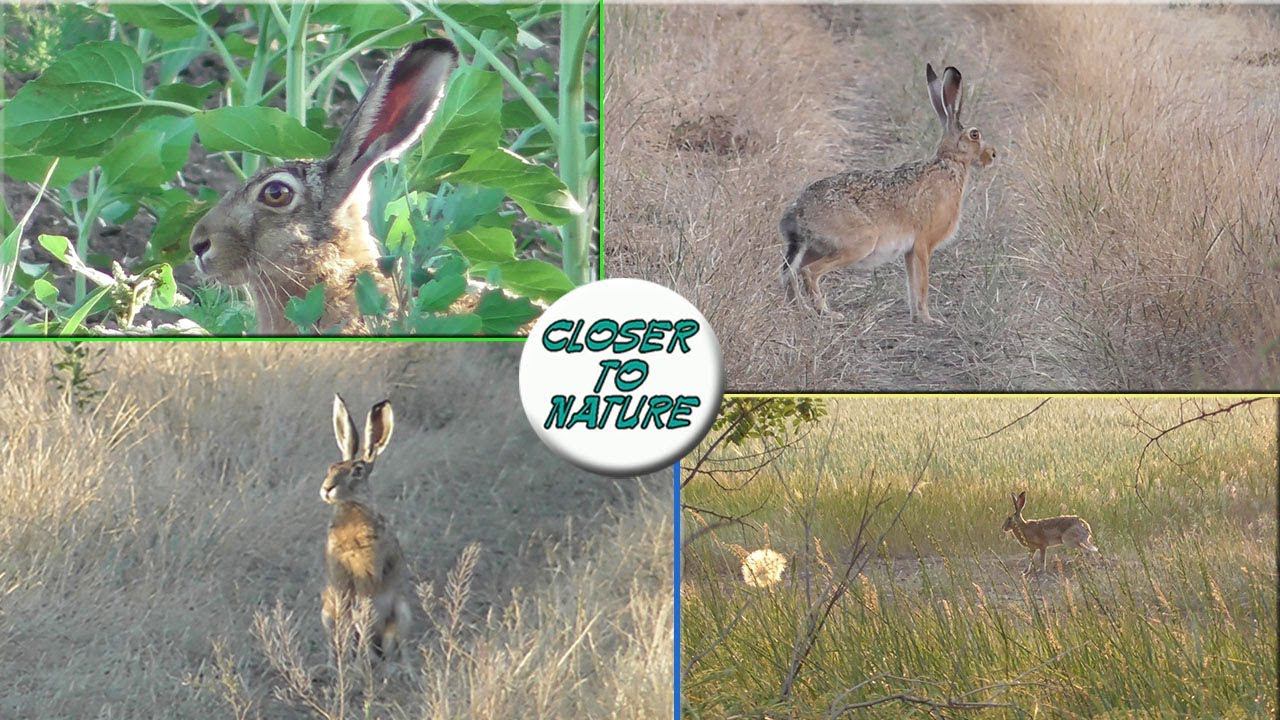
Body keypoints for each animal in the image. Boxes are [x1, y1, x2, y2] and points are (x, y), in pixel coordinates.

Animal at [321, 394, 410, 659]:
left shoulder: (369, 576)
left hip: (401, 612)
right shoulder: (339, 579)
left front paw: (359, 658)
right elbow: (346, 620)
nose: (327, 489)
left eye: (357, 471)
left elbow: (363, 616)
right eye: (331, 468)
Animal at [779, 63, 996, 323]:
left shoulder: (910, 251)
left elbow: (912, 283)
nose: (993, 155)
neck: (950, 163)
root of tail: (799, 214)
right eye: (975, 135)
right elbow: (923, 283)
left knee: (791, 273)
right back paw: (827, 312)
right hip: (859, 242)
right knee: (809, 272)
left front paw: (916, 316)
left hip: (816, 247)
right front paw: (928, 319)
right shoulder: (923, 243)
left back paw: (800, 310)